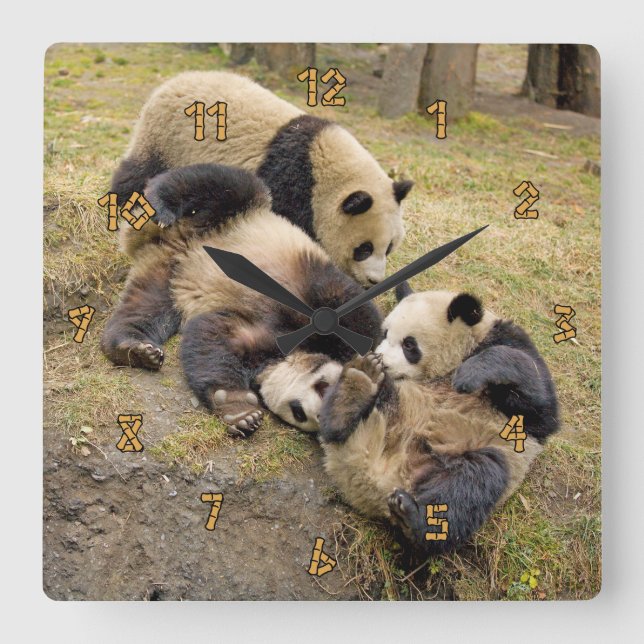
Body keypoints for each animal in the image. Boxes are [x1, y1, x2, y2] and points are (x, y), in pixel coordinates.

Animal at [100, 163, 382, 435]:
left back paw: (133, 348)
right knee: (221, 184)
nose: (316, 412)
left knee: (144, 307)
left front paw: (238, 412)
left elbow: (214, 337)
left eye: (298, 414)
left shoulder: (262, 343)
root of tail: (174, 242)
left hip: (165, 276)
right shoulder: (315, 290)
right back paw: (160, 204)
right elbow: (353, 313)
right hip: (230, 216)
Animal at [111, 70, 414, 286]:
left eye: (389, 247)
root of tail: (175, 79)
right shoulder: (290, 183)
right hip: (165, 137)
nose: (374, 280)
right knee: (137, 173)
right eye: (364, 248)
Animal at [257, 287, 559, 554]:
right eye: (384, 333)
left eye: (409, 345)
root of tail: (377, 480)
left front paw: (470, 374)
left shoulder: (508, 350)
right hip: (395, 407)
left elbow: (539, 405)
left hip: (464, 453)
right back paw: (353, 390)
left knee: (473, 481)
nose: (381, 358)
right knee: (365, 403)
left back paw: (415, 519)